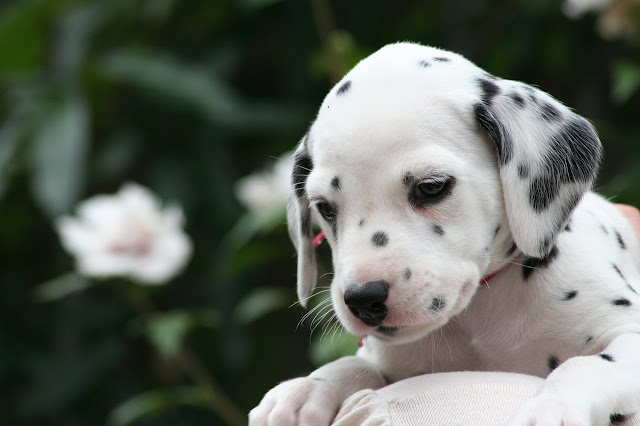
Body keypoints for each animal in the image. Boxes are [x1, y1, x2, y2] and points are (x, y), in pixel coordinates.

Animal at [248, 41, 640, 424]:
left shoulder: (627, 334)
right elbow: (355, 365)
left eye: (431, 187)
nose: (362, 299)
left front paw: (550, 406)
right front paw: (308, 389)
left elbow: (584, 366)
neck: (480, 320)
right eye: (325, 208)